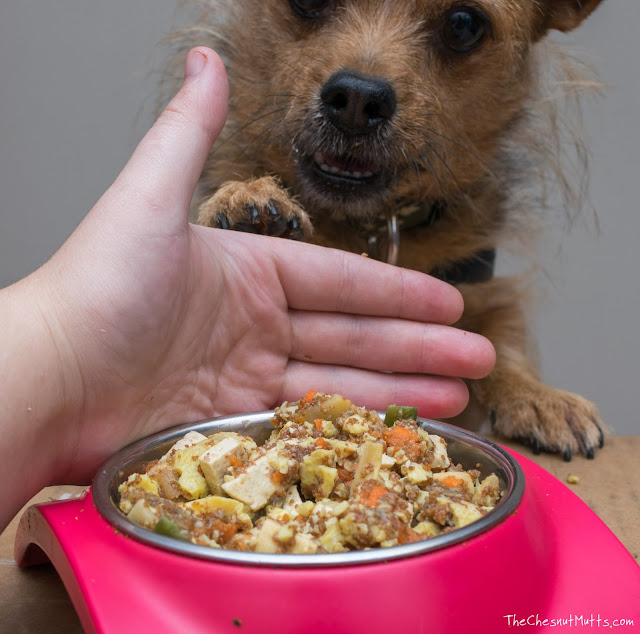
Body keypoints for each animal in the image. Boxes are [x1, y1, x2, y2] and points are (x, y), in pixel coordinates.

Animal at [174, 0, 604, 456]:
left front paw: (539, 397)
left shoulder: (479, 287)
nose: (357, 99)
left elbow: (501, 340)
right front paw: (246, 201)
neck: (369, 224)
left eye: (463, 24)